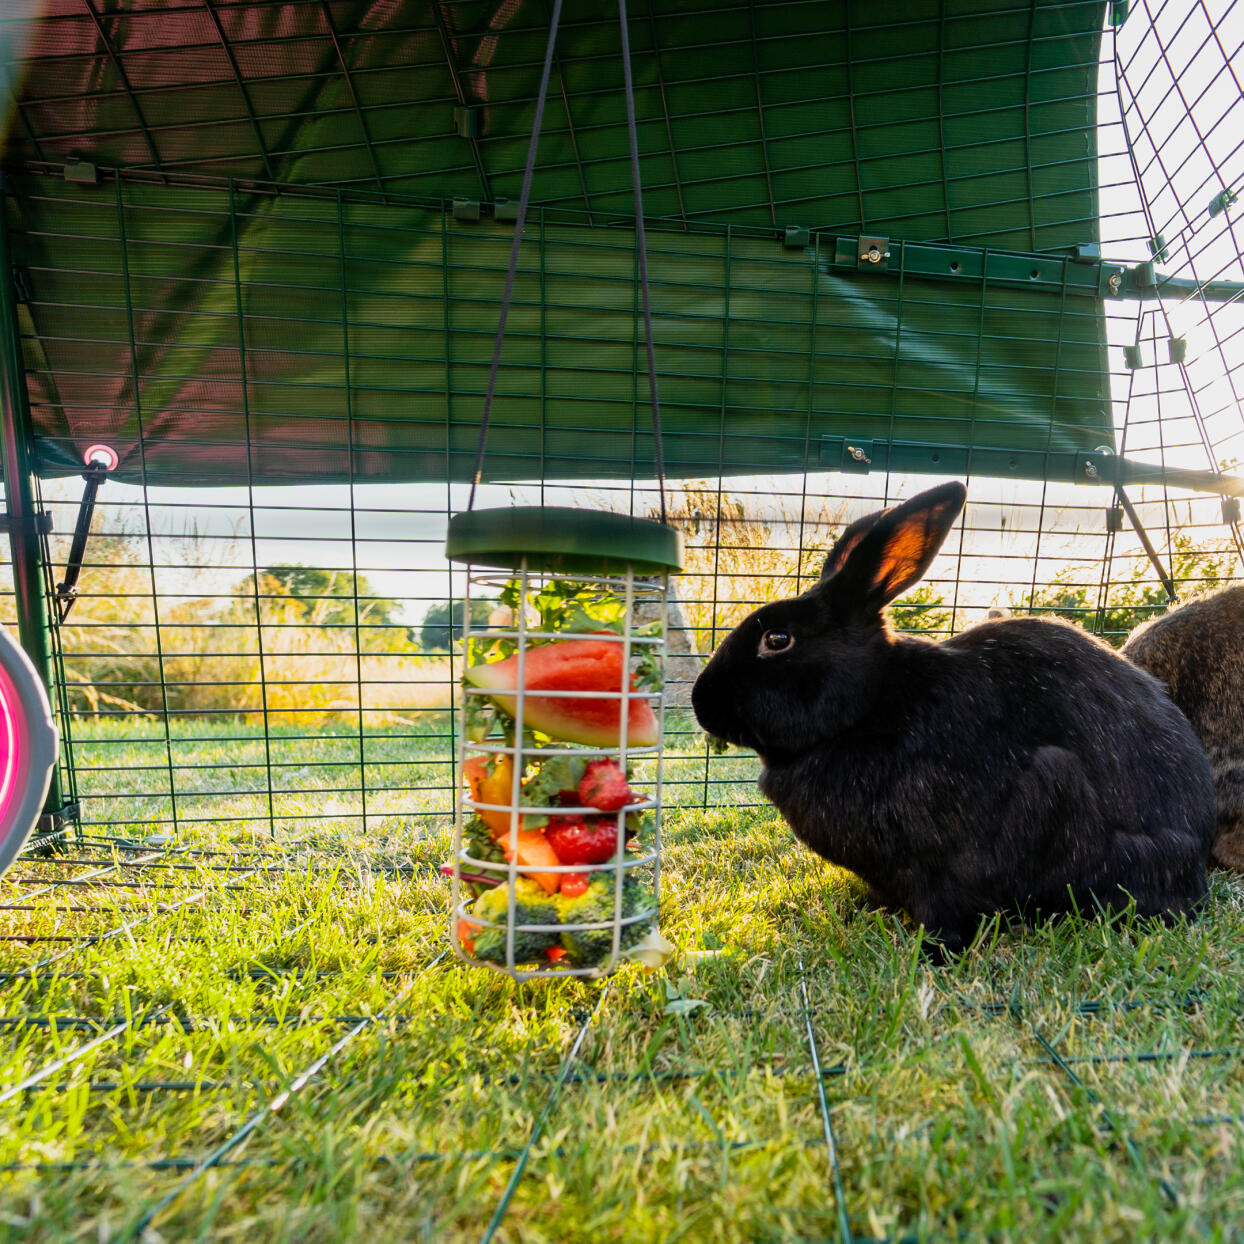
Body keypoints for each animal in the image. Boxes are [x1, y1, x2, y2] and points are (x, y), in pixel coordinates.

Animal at [692, 481, 1216, 958]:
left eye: (778, 640)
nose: (701, 703)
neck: (869, 706)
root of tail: (1195, 861)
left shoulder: (948, 867)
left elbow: (948, 911)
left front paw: (931, 953)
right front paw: (866, 909)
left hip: (1063, 796)